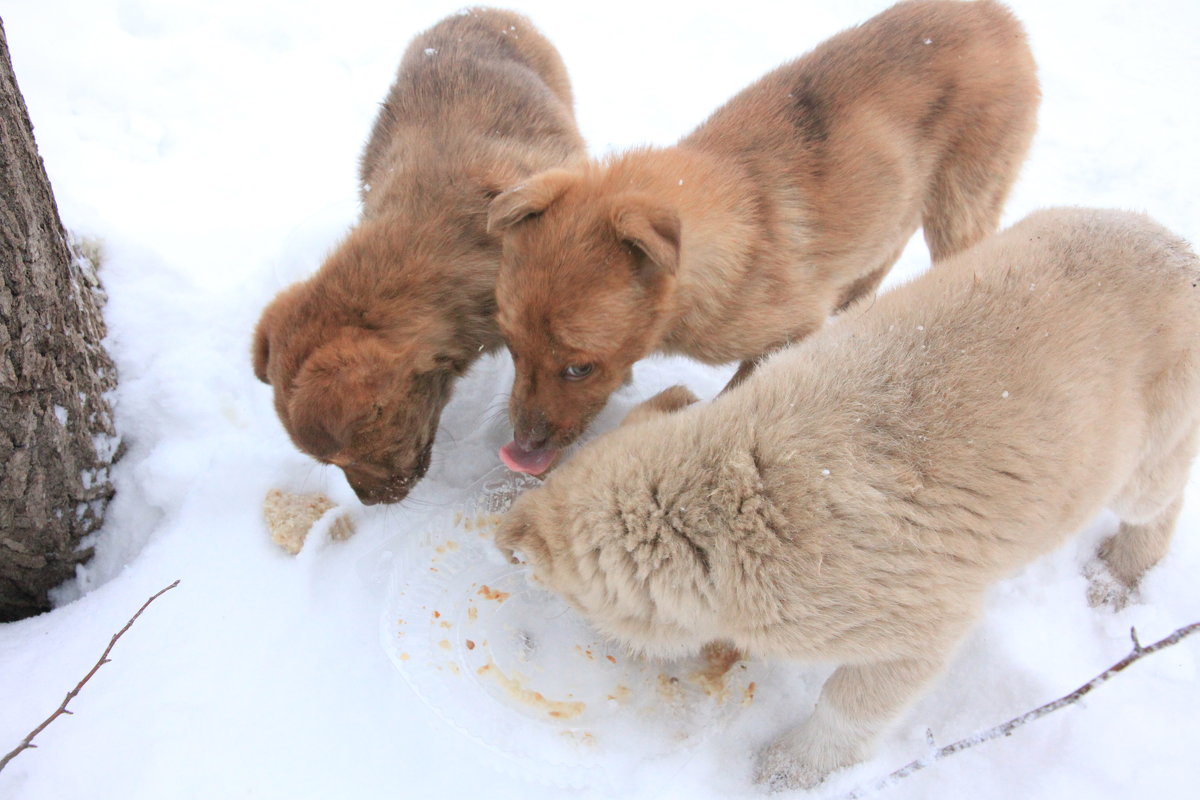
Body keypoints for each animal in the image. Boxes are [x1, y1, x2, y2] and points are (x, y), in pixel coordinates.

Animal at [492, 0, 1036, 474]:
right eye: (512, 347)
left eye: (579, 368)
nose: (523, 446)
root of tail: (997, 14)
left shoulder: (786, 333)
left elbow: (739, 392)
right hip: (900, 197)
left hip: (961, 201)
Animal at [494, 209, 1200, 791]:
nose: (507, 534)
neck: (731, 497)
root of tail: (1179, 249)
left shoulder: (883, 602)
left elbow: (866, 693)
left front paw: (787, 768)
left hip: (1153, 424)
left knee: (1156, 496)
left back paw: (1116, 577)